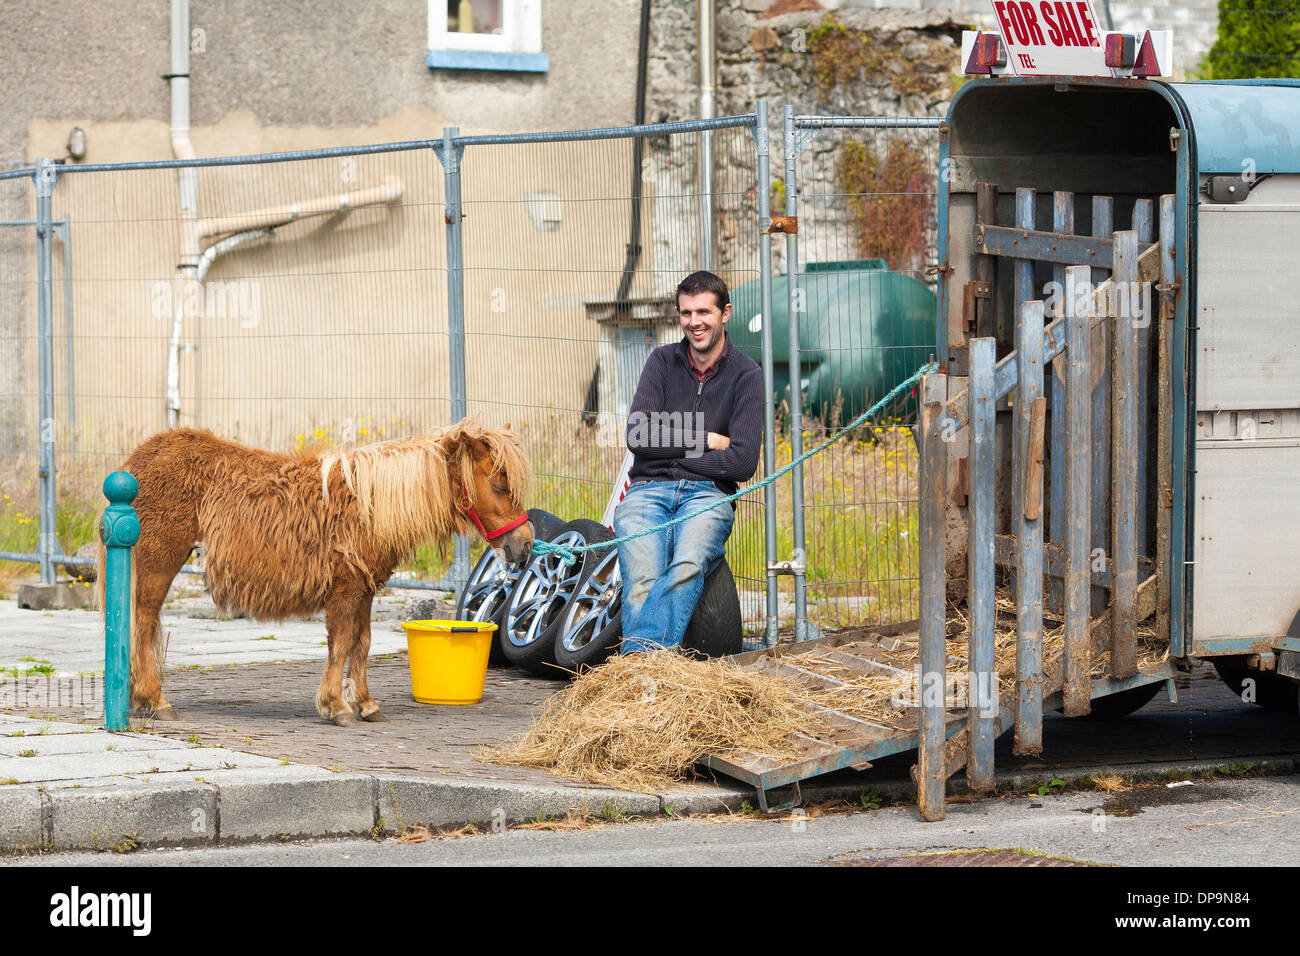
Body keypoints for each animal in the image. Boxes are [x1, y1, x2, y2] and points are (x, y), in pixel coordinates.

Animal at [101, 419, 532, 726]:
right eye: (498, 484)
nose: (525, 545)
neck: (371, 505)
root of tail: (138, 459)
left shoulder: (364, 589)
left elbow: (362, 643)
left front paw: (366, 704)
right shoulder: (345, 588)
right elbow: (340, 644)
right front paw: (336, 706)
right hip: (160, 560)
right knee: (142, 623)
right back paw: (155, 700)